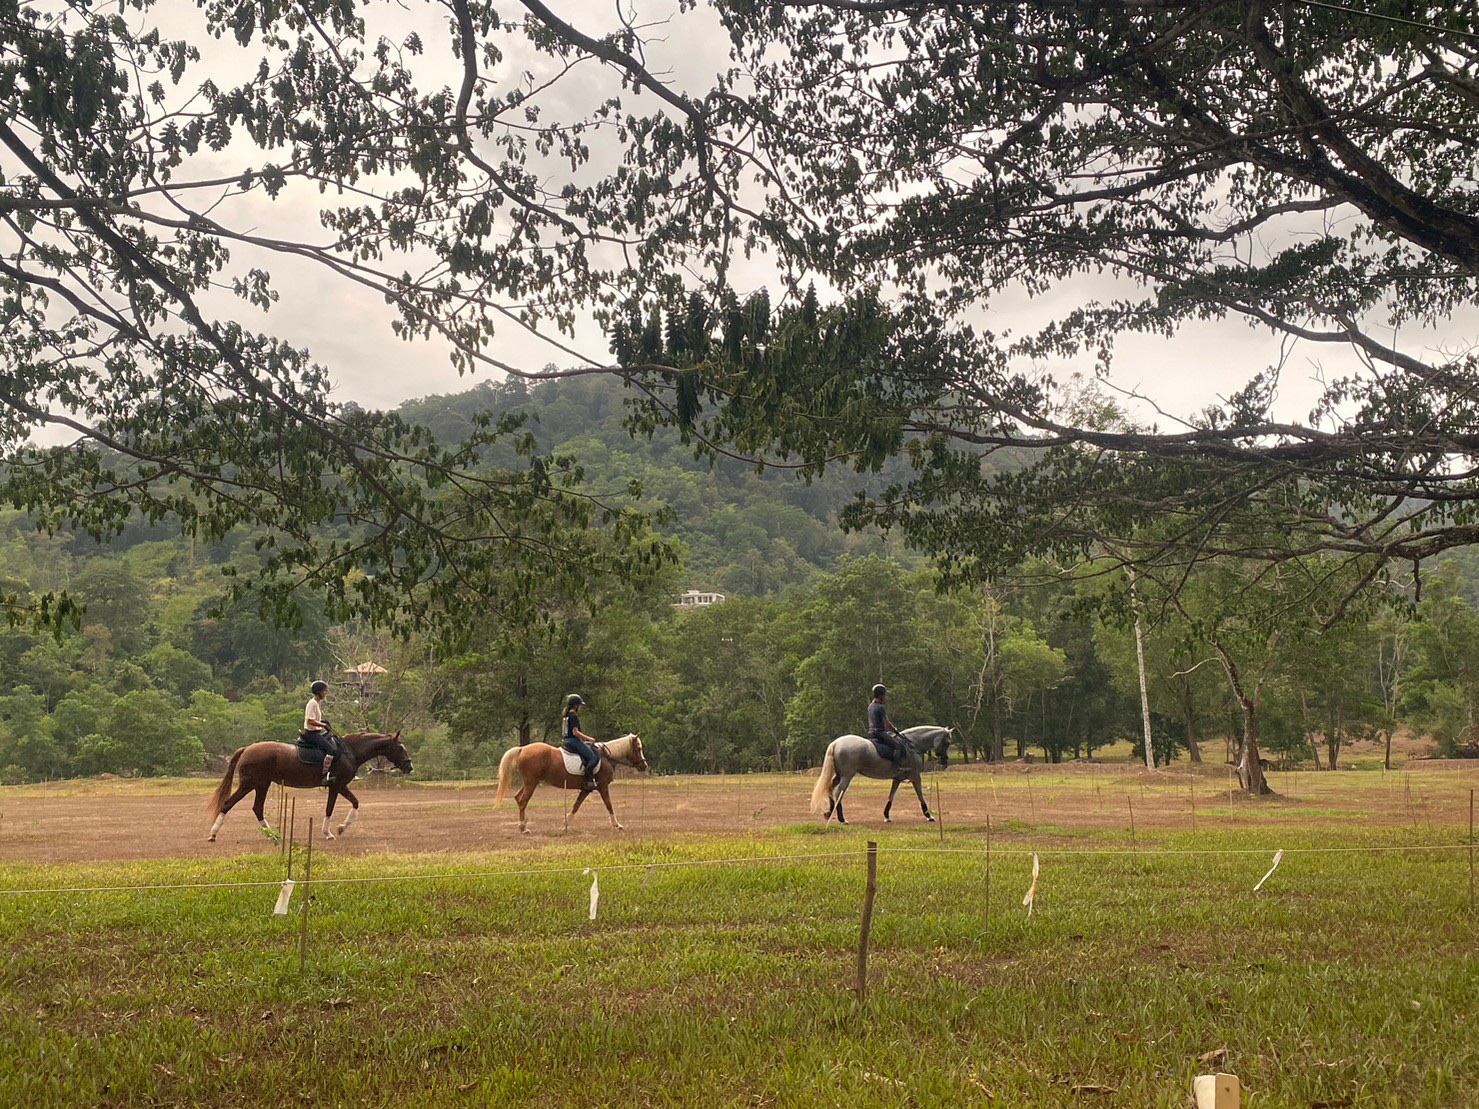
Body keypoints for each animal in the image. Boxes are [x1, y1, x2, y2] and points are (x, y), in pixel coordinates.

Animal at [205, 732, 413, 843]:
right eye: (400, 748)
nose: (409, 767)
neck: (350, 752)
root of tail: (247, 748)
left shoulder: (340, 786)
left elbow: (352, 804)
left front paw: (338, 829)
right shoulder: (337, 786)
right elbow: (334, 808)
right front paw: (332, 832)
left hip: (262, 785)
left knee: (257, 808)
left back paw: (273, 835)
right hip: (250, 784)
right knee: (228, 804)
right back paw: (213, 834)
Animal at [494, 733, 647, 834]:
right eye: (638, 748)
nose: (644, 766)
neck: (606, 757)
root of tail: (523, 749)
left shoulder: (586, 789)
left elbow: (576, 806)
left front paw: (565, 825)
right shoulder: (603, 786)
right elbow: (609, 805)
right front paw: (617, 825)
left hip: (529, 782)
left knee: (518, 798)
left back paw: (523, 824)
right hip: (531, 783)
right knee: (523, 801)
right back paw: (524, 828)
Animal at [808, 724, 953, 826]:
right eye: (947, 743)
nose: (944, 761)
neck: (913, 745)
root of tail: (836, 743)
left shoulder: (897, 779)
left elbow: (891, 796)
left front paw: (887, 816)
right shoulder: (915, 777)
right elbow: (920, 796)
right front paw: (929, 816)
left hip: (839, 775)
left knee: (830, 788)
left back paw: (829, 813)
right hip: (847, 776)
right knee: (839, 792)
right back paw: (842, 819)